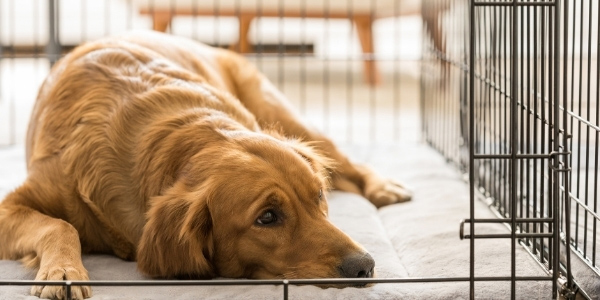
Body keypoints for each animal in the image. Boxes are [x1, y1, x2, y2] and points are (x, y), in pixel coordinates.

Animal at [0, 29, 410, 298]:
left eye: (319, 197)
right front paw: (64, 271)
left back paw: (384, 187)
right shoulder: (10, 207)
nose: (364, 265)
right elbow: (60, 225)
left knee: (348, 163)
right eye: (267, 217)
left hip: (283, 114)